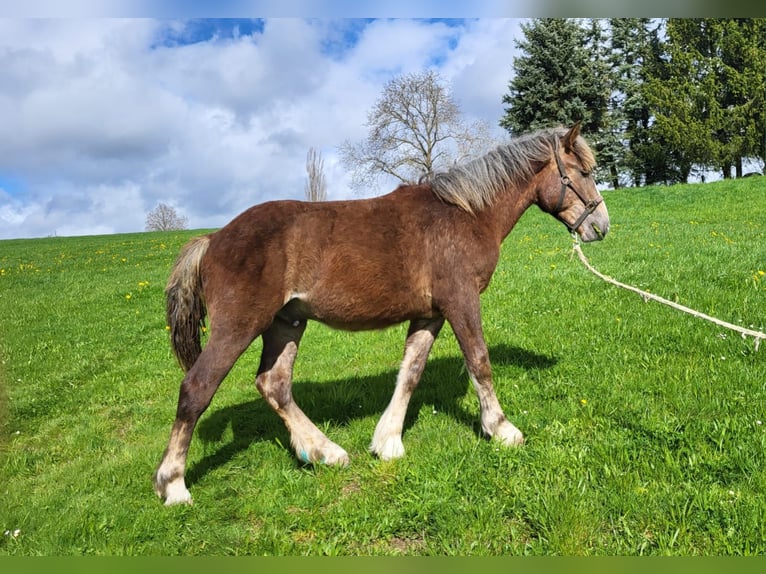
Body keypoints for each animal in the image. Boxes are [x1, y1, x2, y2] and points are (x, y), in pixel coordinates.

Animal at [154, 121, 612, 504]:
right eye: (584, 172)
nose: (601, 227)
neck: (465, 213)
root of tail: (213, 239)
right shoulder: (461, 301)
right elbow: (479, 362)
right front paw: (501, 429)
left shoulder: (431, 313)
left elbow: (410, 372)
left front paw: (388, 441)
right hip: (238, 327)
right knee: (196, 389)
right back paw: (173, 485)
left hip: (287, 324)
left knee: (274, 384)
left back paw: (324, 452)